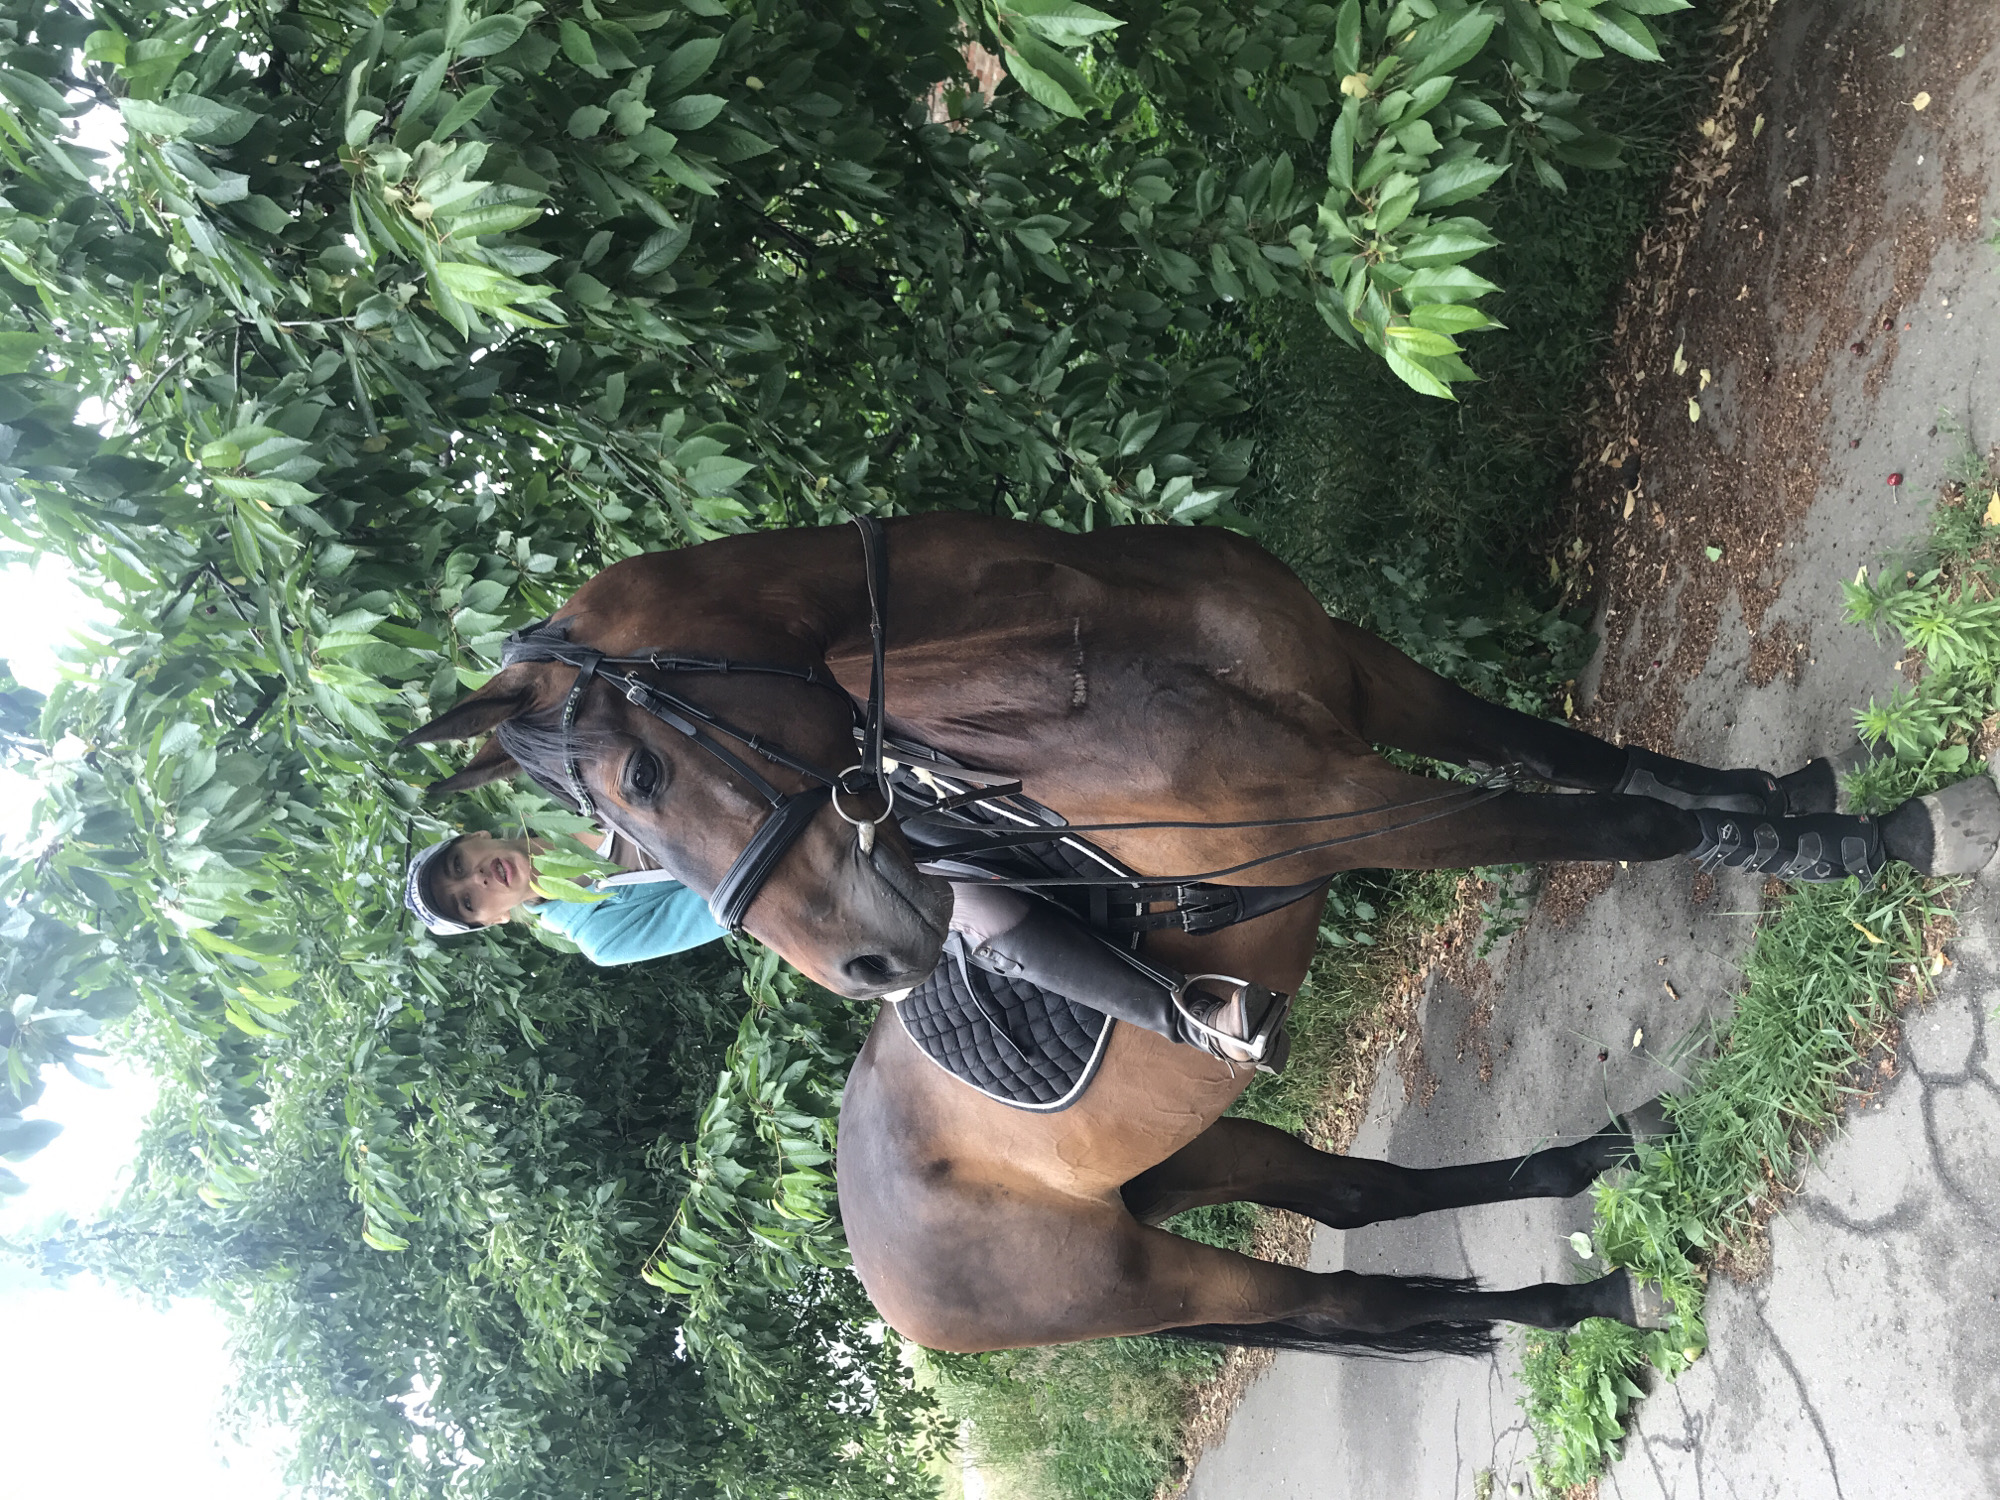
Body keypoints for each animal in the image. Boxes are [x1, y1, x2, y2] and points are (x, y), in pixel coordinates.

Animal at [399, 514, 1974, 1356]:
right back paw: (1583, 1298)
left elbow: (1577, 758)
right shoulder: (1347, 805)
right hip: (1146, 1276)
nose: (881, 967)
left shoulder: (1366, 681)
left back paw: (1588, 1170)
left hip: (1181, 1156)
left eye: (634, 787)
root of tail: (880, 1279)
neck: (1079, 649)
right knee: (1348, 1306)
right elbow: (1613, 824)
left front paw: (1781, 808)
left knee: (1350, 1201)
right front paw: (1855, 844)